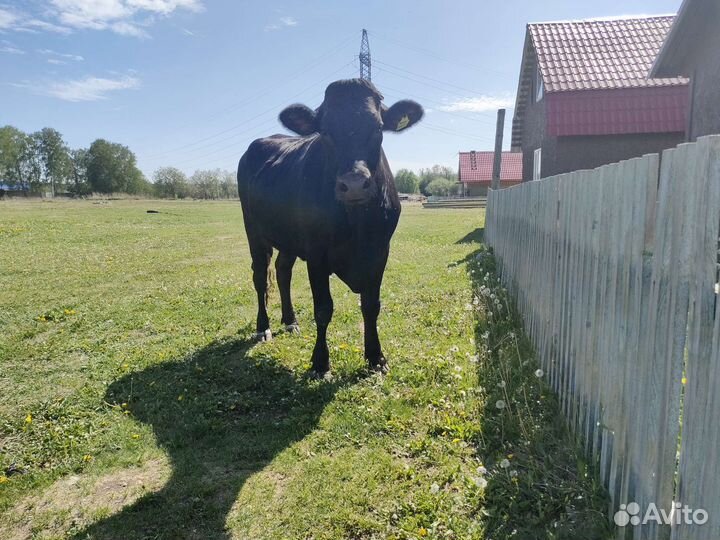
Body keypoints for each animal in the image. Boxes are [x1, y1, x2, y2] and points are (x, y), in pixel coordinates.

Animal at [237, 78, 423, 378]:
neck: (357, 224)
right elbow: (323, 309)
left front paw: (376, 357)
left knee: (282, 271)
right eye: (324, 131)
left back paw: (290, 320)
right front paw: (320, 363)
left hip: (289, 238)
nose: (355, 184)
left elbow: (371, 306)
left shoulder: (380, 252)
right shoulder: (317, 254)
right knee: (260, 276)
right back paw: (263, 327)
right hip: (254, 231)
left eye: (378, 128)